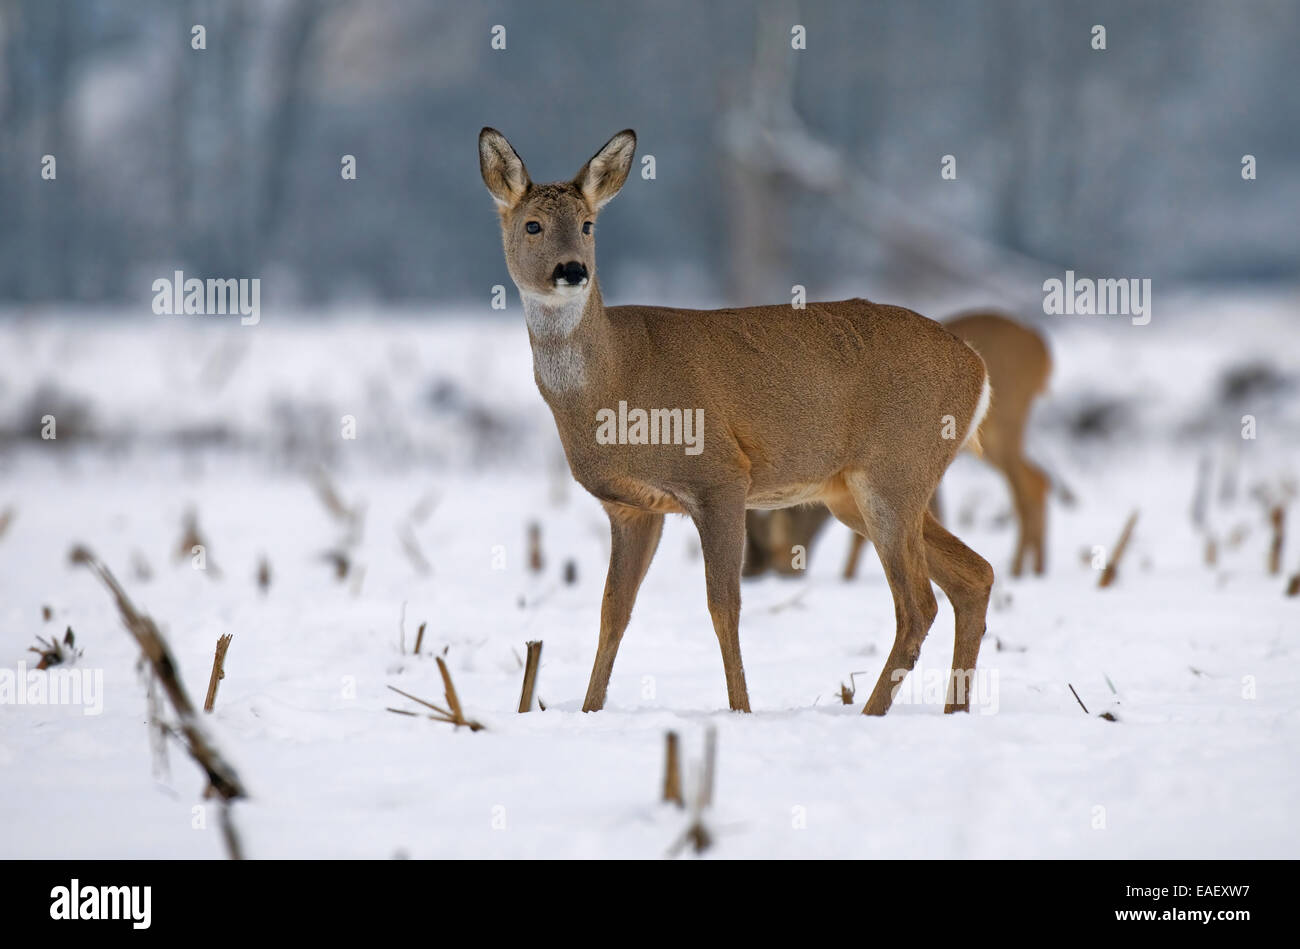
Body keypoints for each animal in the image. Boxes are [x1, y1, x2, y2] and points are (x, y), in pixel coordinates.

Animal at [478, 129, 993, 712]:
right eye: (532, 224)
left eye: (588, 224)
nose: (572, 270)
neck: (613, 383)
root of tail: (978, 369)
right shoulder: (630, 507)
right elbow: (614, 611)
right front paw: (589, 710)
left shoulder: (720, 475)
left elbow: (723, 604)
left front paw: (741, 709)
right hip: (855, 492)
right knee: (975, 575)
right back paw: (951, 711)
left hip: (895, 470)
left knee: (919, 603)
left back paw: (872, 712)